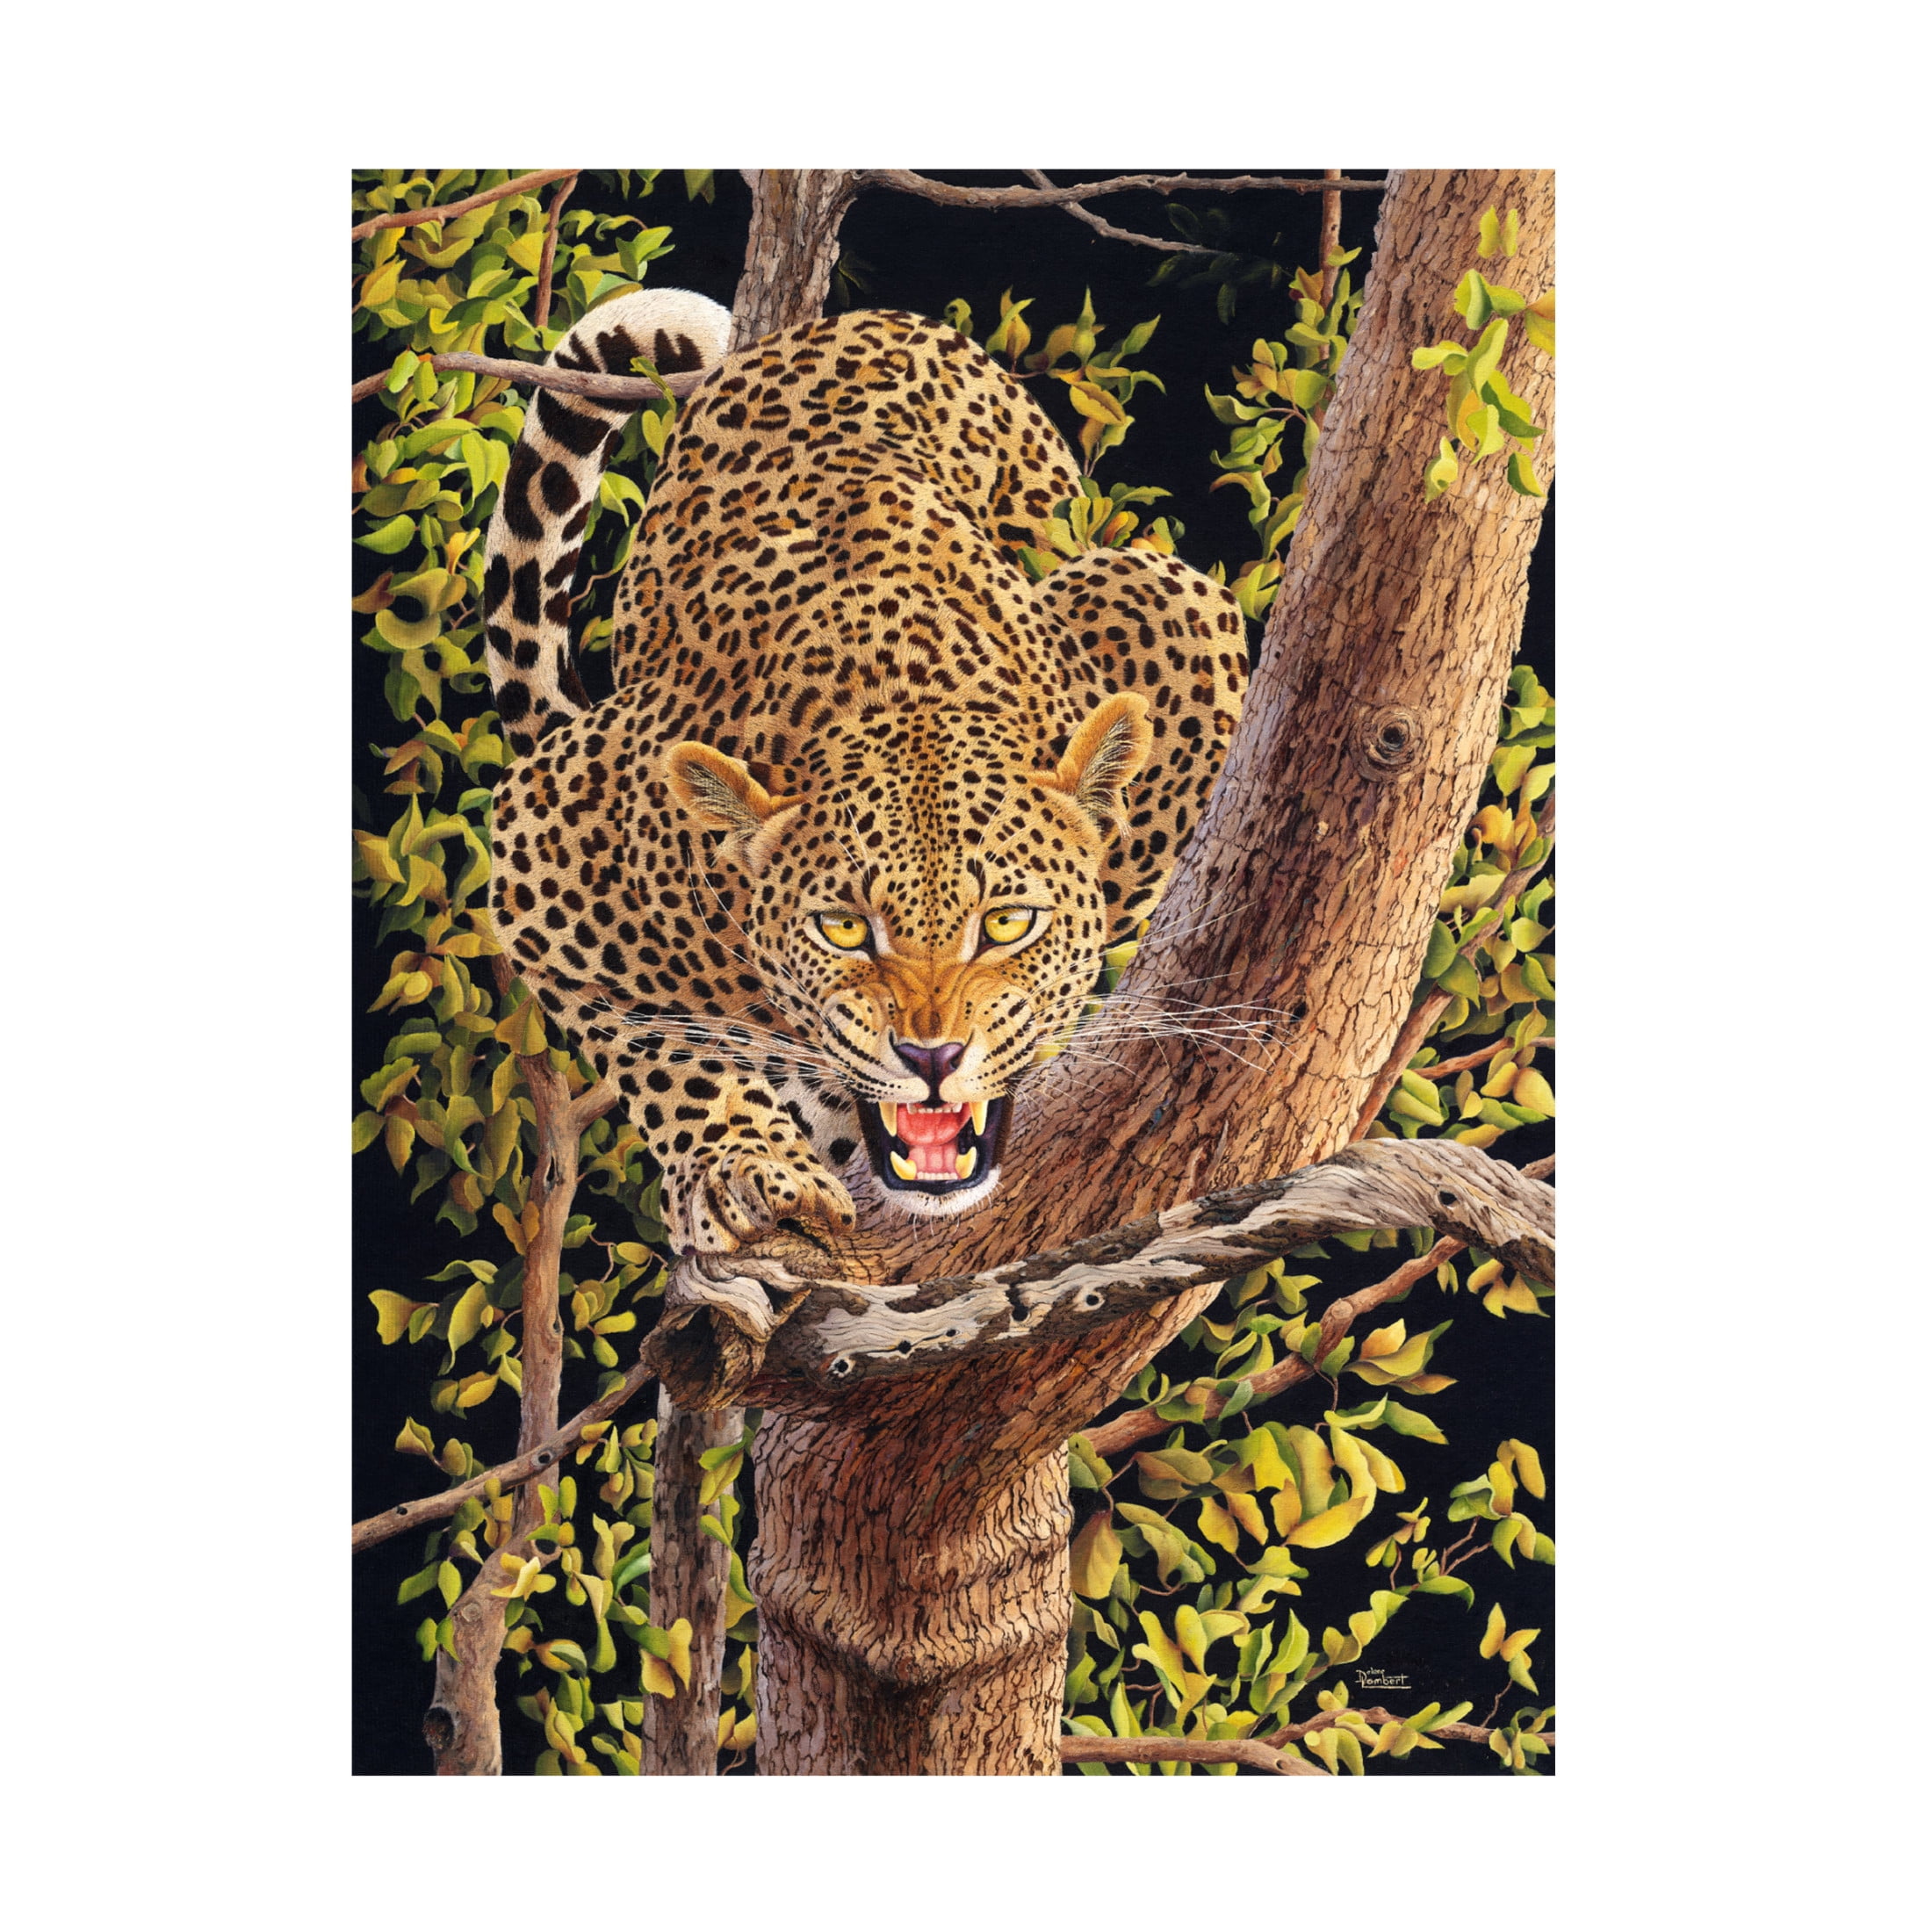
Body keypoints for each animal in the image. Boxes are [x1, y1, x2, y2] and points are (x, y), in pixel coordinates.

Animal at [481, 288, 1247, 1260]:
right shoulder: (539, 839)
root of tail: (864, 320)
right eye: (844, 929)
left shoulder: (1176, 612)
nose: (933, 1059)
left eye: (1007, 923)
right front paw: (742, 1165)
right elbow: (660, 1049)